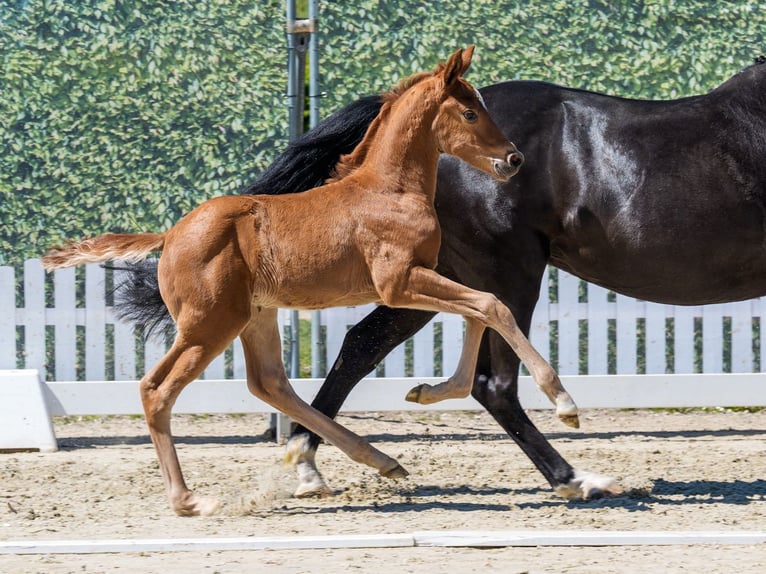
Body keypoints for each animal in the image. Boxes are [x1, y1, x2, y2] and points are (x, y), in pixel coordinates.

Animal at [41, 46, 574, 516]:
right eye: (468, 113)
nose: (513, 160)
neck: (389, 190)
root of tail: (170, 234)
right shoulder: (400, 283)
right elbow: (491, 306)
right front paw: (563, 402)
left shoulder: (426, 278)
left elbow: (481, 310)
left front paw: (426, 392)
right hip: (208, 324)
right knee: (158, 389)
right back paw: (190, 500)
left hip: (254, 316)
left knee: (270, 384)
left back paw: (378, 461)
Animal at [113, 57, 766, 502]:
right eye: (469, 112)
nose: (509, 161)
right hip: (505, 268)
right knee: (494, 380)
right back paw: (573, 468)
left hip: (436, 277)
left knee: (366, 347)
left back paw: (321, 458)